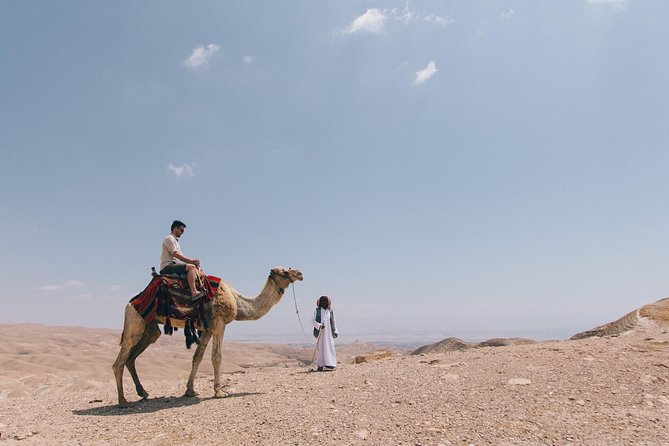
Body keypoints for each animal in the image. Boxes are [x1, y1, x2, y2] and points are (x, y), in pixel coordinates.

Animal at [112, 266, 303, 407]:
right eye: (285, 271)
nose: (300, 274)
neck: (237, 300)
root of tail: (130, 303)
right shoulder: (219, 323)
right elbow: (216, 356)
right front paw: (219, 391)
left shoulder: (207, 329)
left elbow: (197, 357)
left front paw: (190, 390)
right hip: (135, 321)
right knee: (119, 361)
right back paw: (123, 401)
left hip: (150, 328)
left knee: (132, 357)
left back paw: (143, 392)